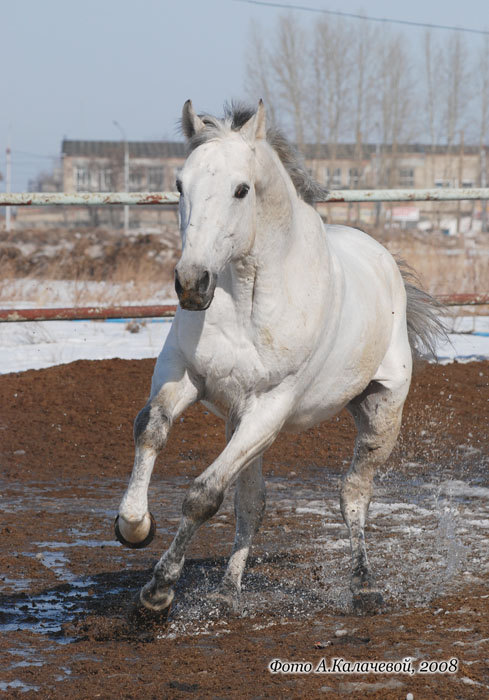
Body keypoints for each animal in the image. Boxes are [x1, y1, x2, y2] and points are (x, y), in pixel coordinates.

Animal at [115, 101, 442, 616]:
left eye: (241, 189)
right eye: (180, 185)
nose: (191, 283)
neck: (247, 300)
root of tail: (387, 264)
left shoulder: (270, 408)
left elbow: (204, 494)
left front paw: (159, 588)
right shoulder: (184, 375)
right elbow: (151, 429)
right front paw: (134, 527)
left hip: (380, 412)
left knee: (353, 494)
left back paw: (364, 587)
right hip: (239, 420)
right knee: (253, 504)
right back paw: (228, 591)